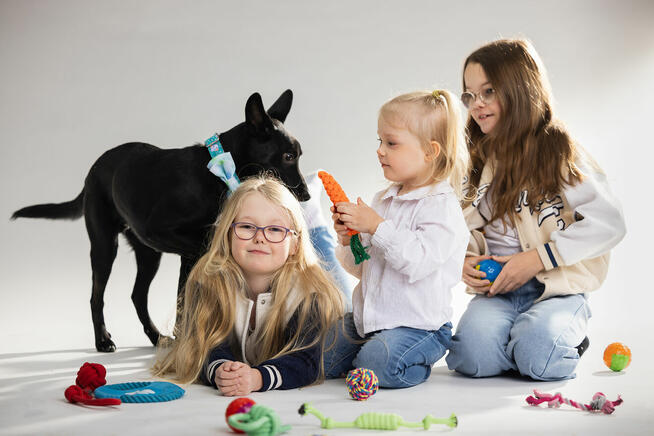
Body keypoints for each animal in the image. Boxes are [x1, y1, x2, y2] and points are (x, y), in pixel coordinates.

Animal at [12, 88, 310, 350]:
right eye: (288, 156)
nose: (306, 196)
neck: (218, 172)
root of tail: (92, 171)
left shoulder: (179, 255)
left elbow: (182, 296)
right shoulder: (160, 232)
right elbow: (200, 258)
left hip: (148, 254)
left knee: (137, 295)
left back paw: (156, 337)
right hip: (105, 245)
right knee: (96, 297)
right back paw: (103, 340)